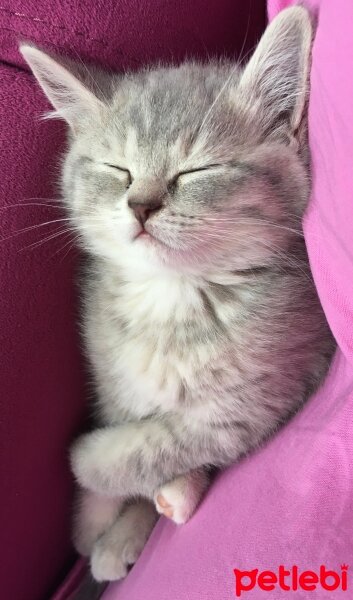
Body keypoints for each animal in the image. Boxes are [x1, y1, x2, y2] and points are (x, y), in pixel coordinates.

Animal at [20, 7, 334, 584]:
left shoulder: (258, 401)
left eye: (197, 171)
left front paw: (94, 469)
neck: (172, 299)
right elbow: (127, 421)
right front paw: (96, 518)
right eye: (118, 170)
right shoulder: (111, 376)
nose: (141, 206)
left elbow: (150, 449)